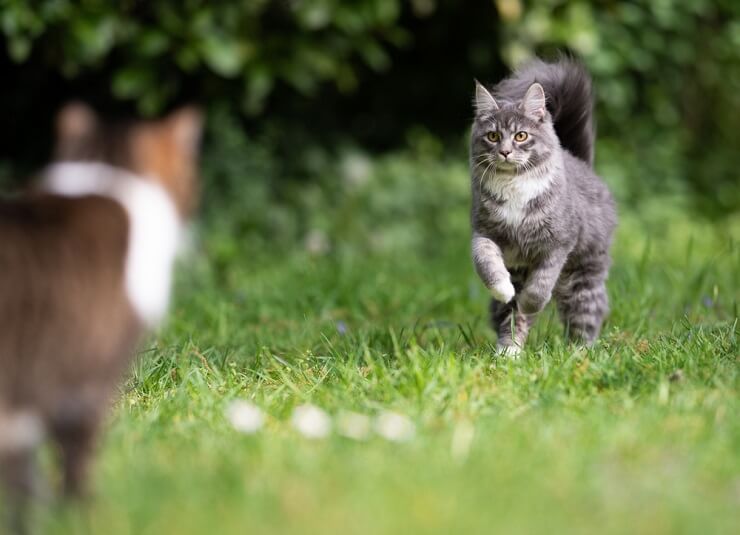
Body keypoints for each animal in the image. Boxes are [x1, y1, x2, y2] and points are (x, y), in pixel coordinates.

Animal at [468, 59, 620, 356]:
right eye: (493, 136)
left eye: (520, 136)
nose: (505, 151)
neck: (513, 185)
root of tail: (580, 162)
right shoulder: (484, 233)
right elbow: (486, 263)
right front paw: (503, 289)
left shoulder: (558, 244)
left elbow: (541, 285)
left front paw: (530, 302)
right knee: (511, 321)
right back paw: (509, 352)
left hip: (583, 279)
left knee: (585, 319)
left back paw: (579, 354)